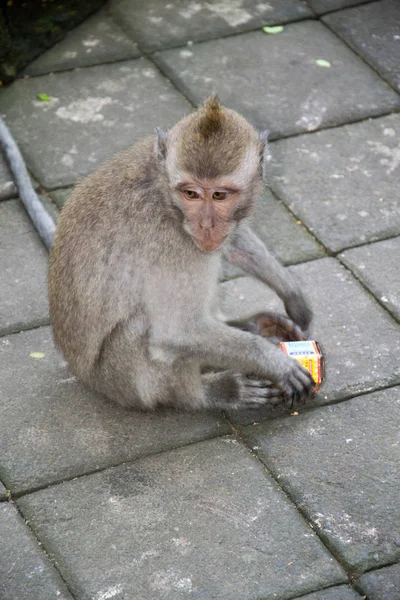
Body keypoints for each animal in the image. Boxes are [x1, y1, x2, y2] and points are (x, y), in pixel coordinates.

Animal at [46, 95, 316, 412]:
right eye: (191, 194)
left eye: (219, 195)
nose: (205, 225)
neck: (163, 192)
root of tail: (82, 375)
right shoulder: (169, 243)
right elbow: (176, 331)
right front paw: (274, 362)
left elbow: (232, 241)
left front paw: (292, 292)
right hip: (118, 382)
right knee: (146, 329)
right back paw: (209, 392)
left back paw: (250, 325)